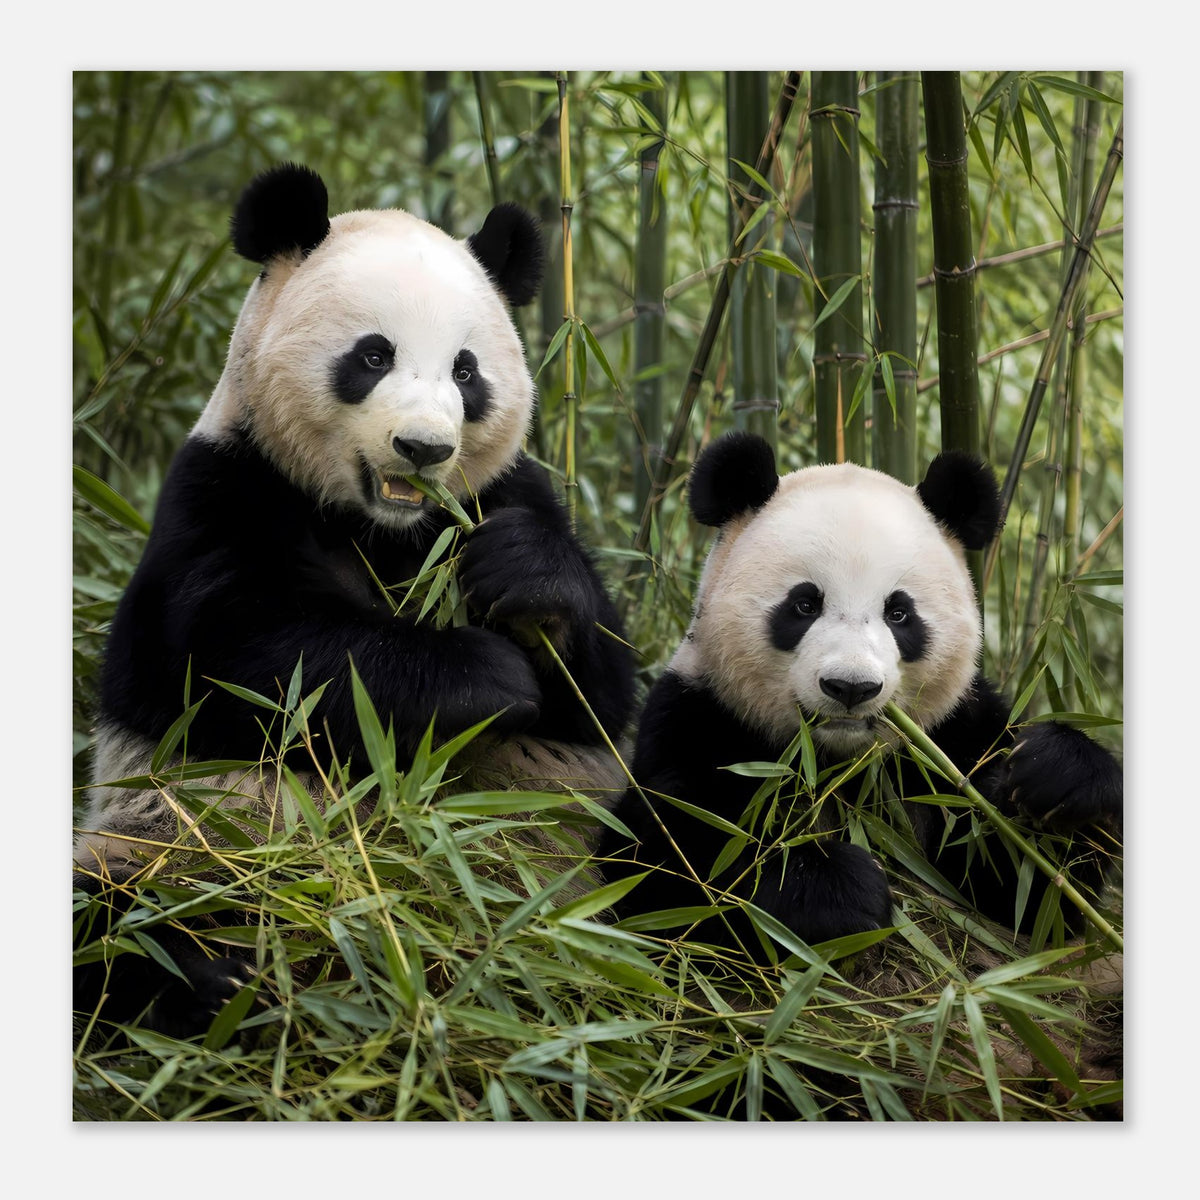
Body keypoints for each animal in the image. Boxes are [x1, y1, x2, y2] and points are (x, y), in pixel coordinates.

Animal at [74, 163, 635, 1035]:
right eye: (373, 355)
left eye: (466, 371)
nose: (424, 448)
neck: (383, 528)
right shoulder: (222, 494)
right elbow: (253, 661)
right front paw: (486, 676)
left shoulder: (504, 494)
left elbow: (600, 696)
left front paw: (524, 578)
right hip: (175, 839)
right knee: (116, 915)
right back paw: (216, 980)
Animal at [599, 431, 1122, 952]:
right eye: (805, 604)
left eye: (899, 613)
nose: (851, 687)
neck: (838, 764)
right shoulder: (699, 716)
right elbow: (671, 863)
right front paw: (837, 889)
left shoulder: (951, 737)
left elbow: (1026, 891)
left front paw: (1056, 776)